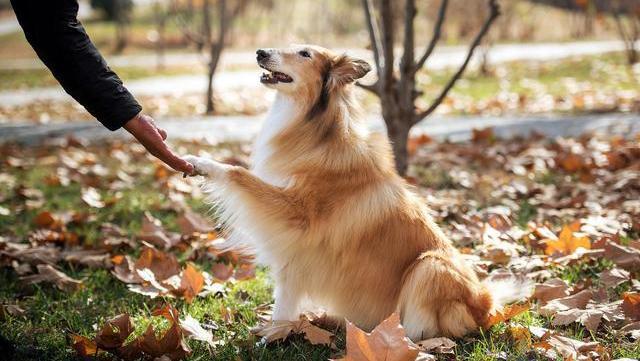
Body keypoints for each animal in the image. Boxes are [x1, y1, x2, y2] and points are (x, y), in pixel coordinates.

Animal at [182, 45, 528, 340]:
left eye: (304, 53)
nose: (260, 52)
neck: (319, 134)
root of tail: (486, 304)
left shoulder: (294, 218)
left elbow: (239, 173)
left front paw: (202, 163)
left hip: (429, 266)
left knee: (423, 328)